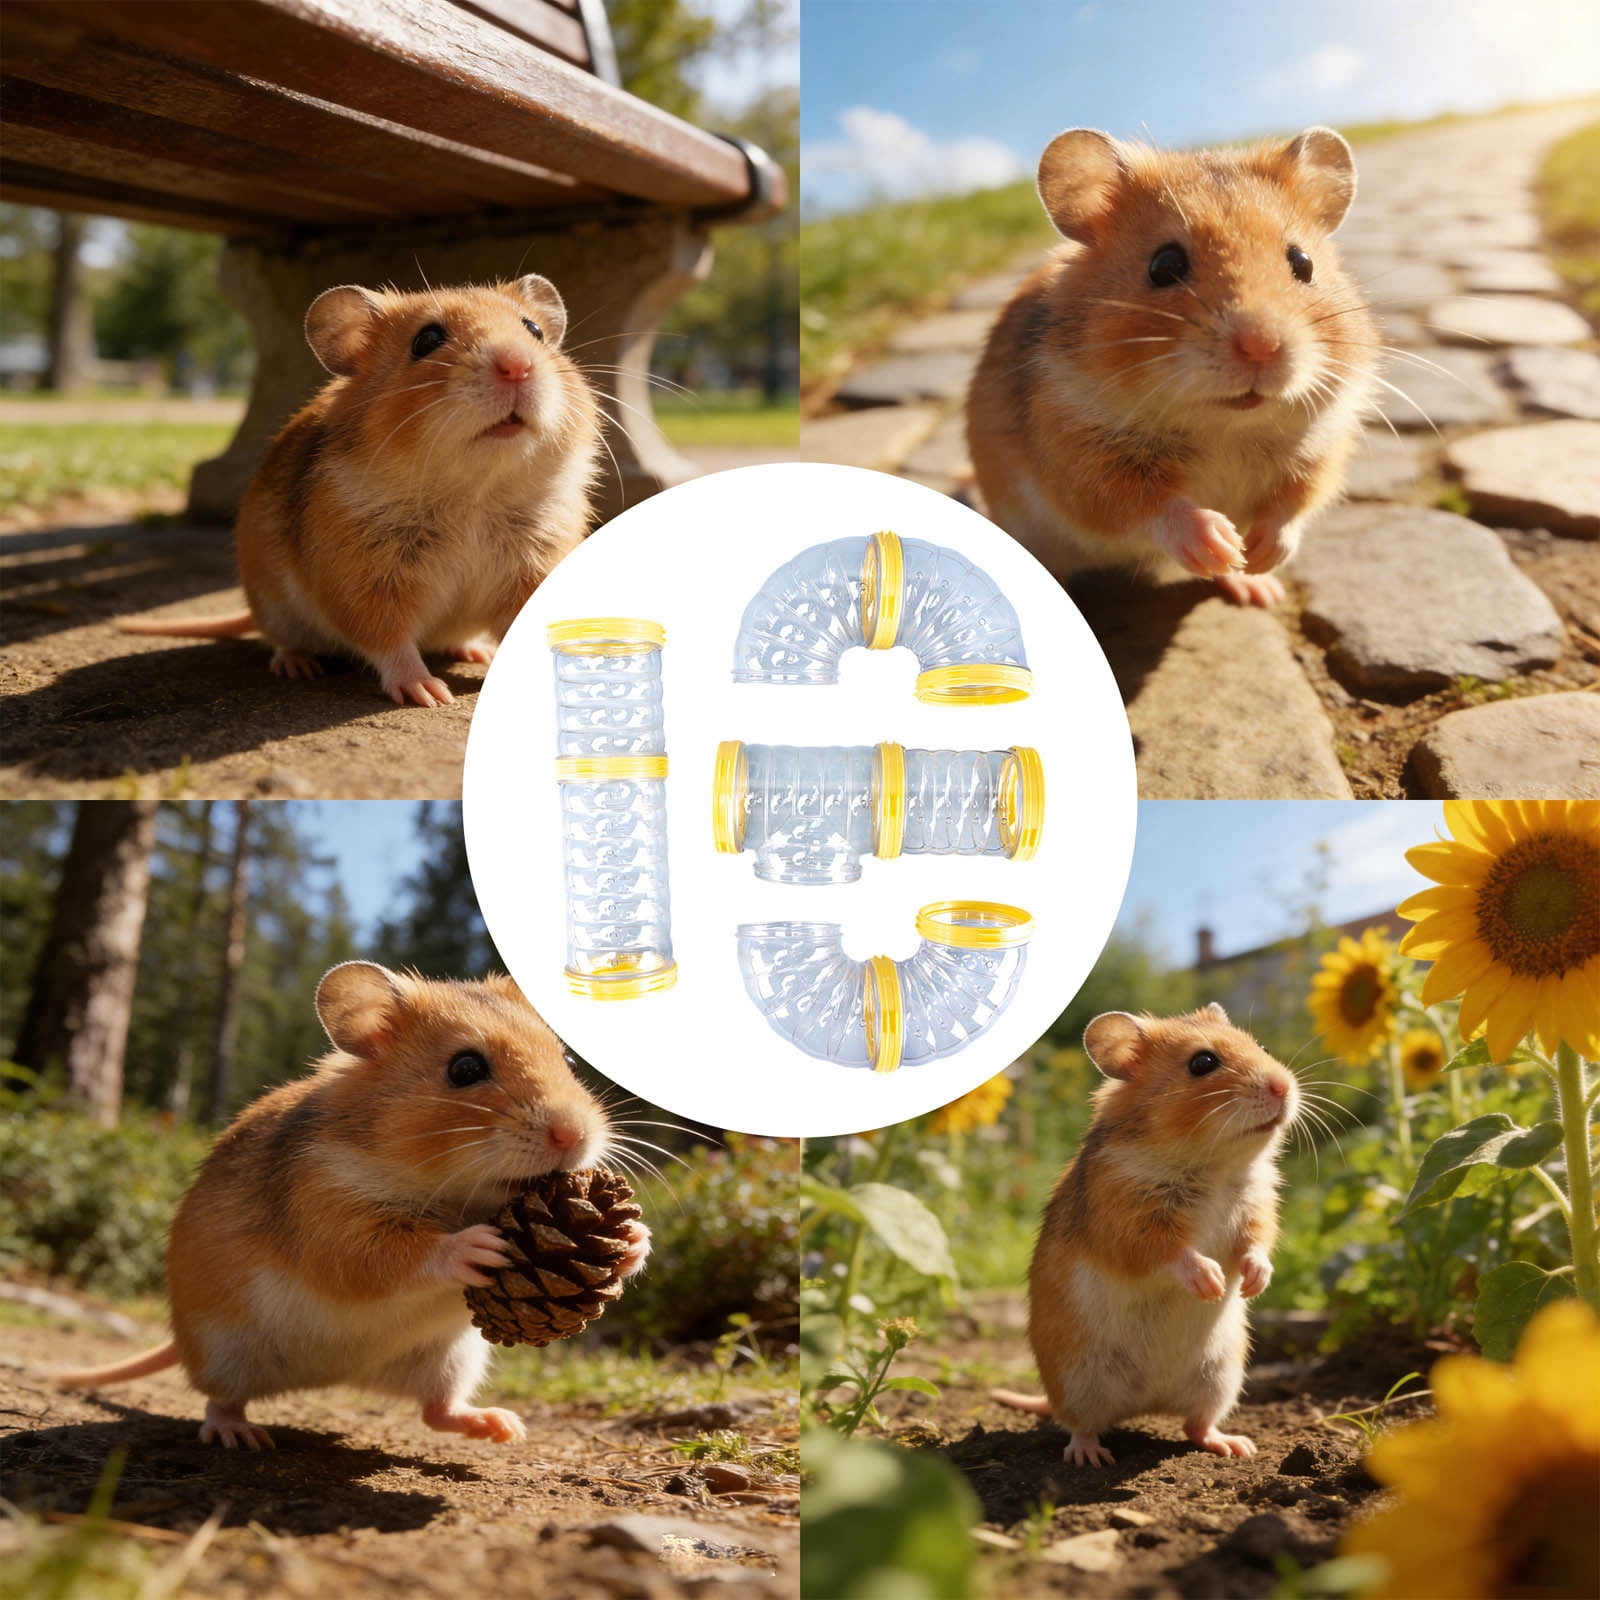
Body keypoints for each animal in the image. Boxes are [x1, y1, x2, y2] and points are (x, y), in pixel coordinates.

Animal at [51, 962, 649, 1450]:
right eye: (464, 1069)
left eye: (566, 1058)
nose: (575, 1135)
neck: (458, 1194)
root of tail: (336, 1376)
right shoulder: (330, 1217)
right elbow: (399, 1254)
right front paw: (475, 1247)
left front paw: (634, 1243)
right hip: (227, 1349)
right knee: (220, 1399)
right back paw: (238, 1434)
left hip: (451, 1357)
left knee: (437, 1412)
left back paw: (501, 1425)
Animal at [120, 276, 601, 706]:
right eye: (426, 340)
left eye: (533, 330)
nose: (517, 365)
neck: (473, 492)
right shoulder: (364, 584)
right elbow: (391, 643)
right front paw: (427, 694)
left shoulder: (532, 567)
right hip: (272, 605)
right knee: (278, 639)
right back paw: (298, 665)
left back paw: (473, 649)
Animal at [967, 128, 1379, 607]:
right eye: (1164, 265)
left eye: (1303, 262)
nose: (1261, 347)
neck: (1224, 426)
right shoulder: (1081, 462)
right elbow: (1149, 506)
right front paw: (1219, 543)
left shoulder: (1322, 448)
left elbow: (1293, 506)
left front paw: (1257, 557)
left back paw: (1256, 589)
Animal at [992, 1005, 1297, 1466]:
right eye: (1202, 1063)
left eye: (1260, 1045)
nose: (1284, 1086)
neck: (1212, 1164)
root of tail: (1148, 1404)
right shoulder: (1129, 1223)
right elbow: (1173, 1254)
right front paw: (1212, 1283)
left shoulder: (1258, 1210)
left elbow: (1257, 1247)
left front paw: (1251, 1284)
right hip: (1081, 1381)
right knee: (1081, 1426)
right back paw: (1090, 1457)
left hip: (1220, 1379)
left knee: (1196, 1425)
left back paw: (1236, 1446)